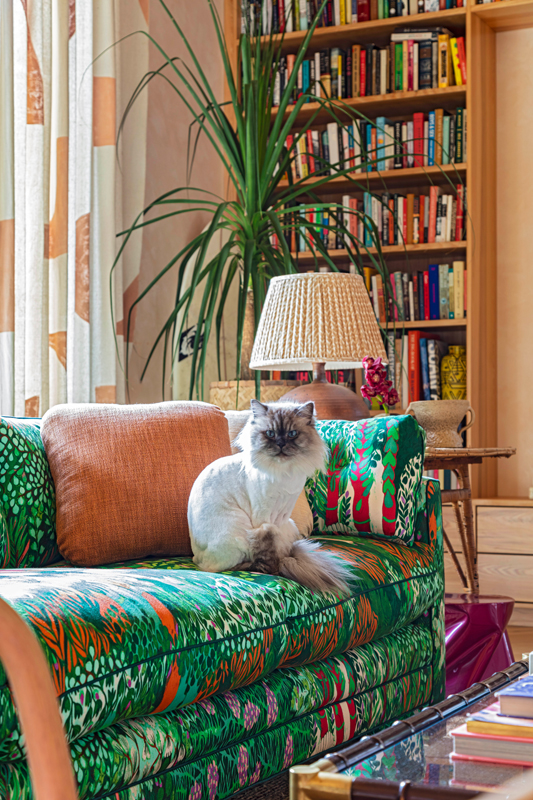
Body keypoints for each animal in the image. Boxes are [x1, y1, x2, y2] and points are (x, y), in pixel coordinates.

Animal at [188, 399, 352, 594]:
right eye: (270, 434)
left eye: (292, 434)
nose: (280, 444)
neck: (284, 474)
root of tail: (195, 559)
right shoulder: (265, 517)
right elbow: (271, 546)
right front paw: (278, 564)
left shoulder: (284, 515)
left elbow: (280, 543)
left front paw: (283, 558)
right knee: (233, 565)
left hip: (289, 524)